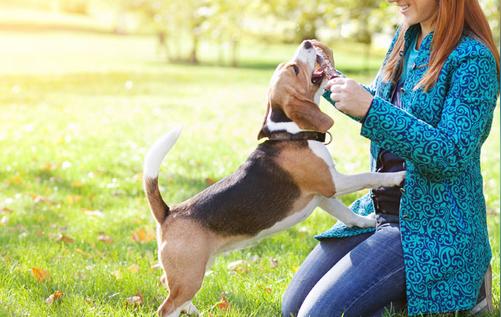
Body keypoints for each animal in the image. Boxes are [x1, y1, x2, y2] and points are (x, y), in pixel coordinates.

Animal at [143, 40, 404, 316]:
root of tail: (168, 213)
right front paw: (397, 176)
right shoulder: (332, 183)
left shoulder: (322, 196)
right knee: (167, 306)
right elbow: (367, 176)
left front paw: (365, 222)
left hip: (194, 270)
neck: (292, 133)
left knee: (169, 285)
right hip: (190, 275)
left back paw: (193, 310)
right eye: (295, 69)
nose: (308, 42)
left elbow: (346, 214)